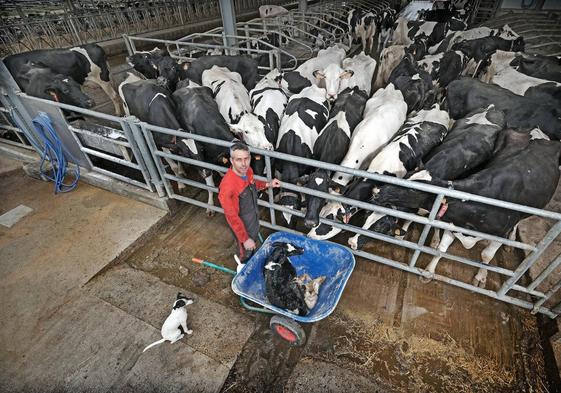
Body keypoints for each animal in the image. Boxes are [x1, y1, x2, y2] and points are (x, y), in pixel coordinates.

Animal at [370, 130, 556, 286]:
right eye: (407, 177)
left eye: (414, 189)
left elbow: (487, 256)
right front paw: (429, 272)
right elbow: (441, 250)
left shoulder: (499, 235)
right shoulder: (453, 226)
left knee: (519, 222)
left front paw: (481, 277)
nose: (377, 190)